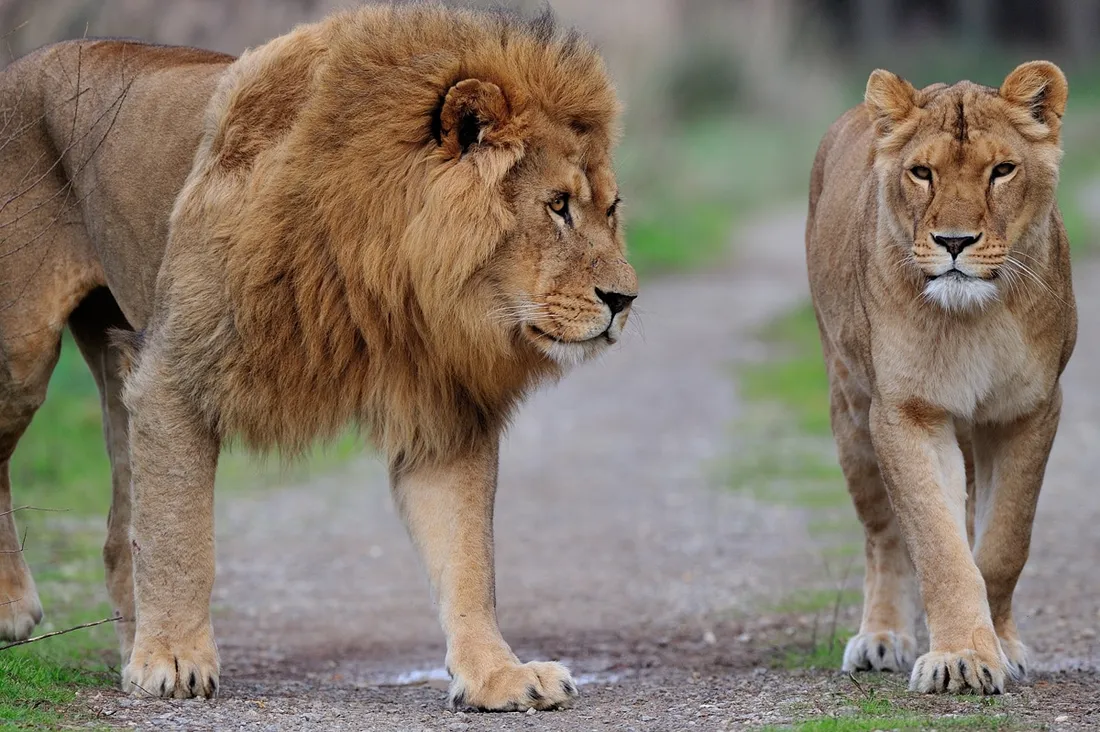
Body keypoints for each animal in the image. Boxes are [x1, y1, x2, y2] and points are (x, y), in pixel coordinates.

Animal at [0, 2, 638, 708]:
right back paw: (17, 608)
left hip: (117, 358)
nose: (625, 299)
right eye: (557, 207)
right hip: (23, 353)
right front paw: (171, 661)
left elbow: (469, 558)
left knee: (120, 533)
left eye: (610, 210)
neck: (389, 275)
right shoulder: (176, 370)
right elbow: (182, 538)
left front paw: (498, 675)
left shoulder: (445, 414)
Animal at [809, 61, 1073, 691]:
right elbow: (938, 546)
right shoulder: (908, 412)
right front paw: (960, 658)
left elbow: (1003, 543)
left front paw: (1000, 648)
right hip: (850, 412)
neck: (975, 317)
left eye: (1002, 170)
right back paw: (881, 639)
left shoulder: (1028, 410)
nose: (954, 242)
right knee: (883, 536)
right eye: (922, 173)